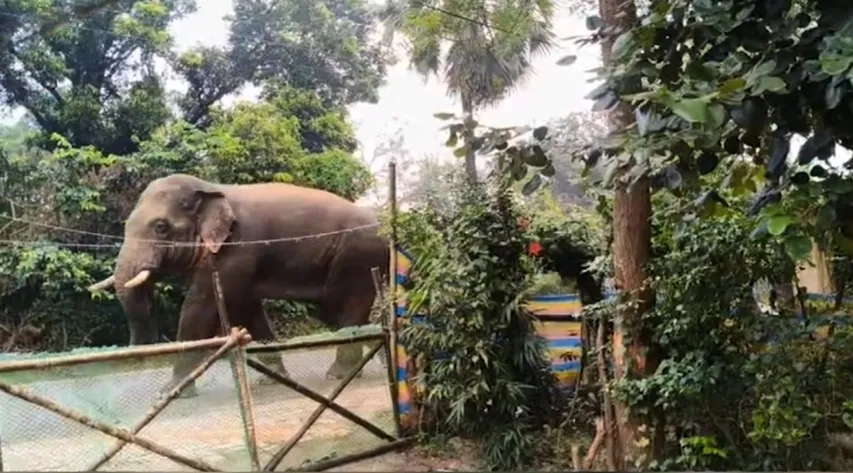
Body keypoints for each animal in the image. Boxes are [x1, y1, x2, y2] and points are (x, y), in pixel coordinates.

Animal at [88, 173, 390, 397]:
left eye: (161, 227)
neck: (210, 189)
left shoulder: (238, 248)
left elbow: (200, 308)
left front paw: (169, 392)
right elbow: (246, 310)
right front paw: (273, 379)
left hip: (358, 256)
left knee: (346, 307)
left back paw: (338, 374)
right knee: (336, 311)